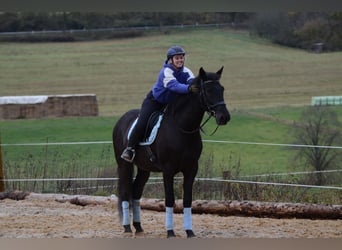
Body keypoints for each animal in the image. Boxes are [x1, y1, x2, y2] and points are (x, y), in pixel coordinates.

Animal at [112, 66, 230, 238]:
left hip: (144, 169)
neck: (182, 128)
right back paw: (127, 227)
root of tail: (121, 120)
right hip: (124, 165)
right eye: (208, 91)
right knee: (125, 191)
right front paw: (170, 232)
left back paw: (138, 226)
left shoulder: (191, 169)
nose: (224, 117)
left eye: (221, 89)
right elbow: (169, 199)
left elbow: (187, 200)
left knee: (136, 192)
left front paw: (189, 231)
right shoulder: (168, 171)